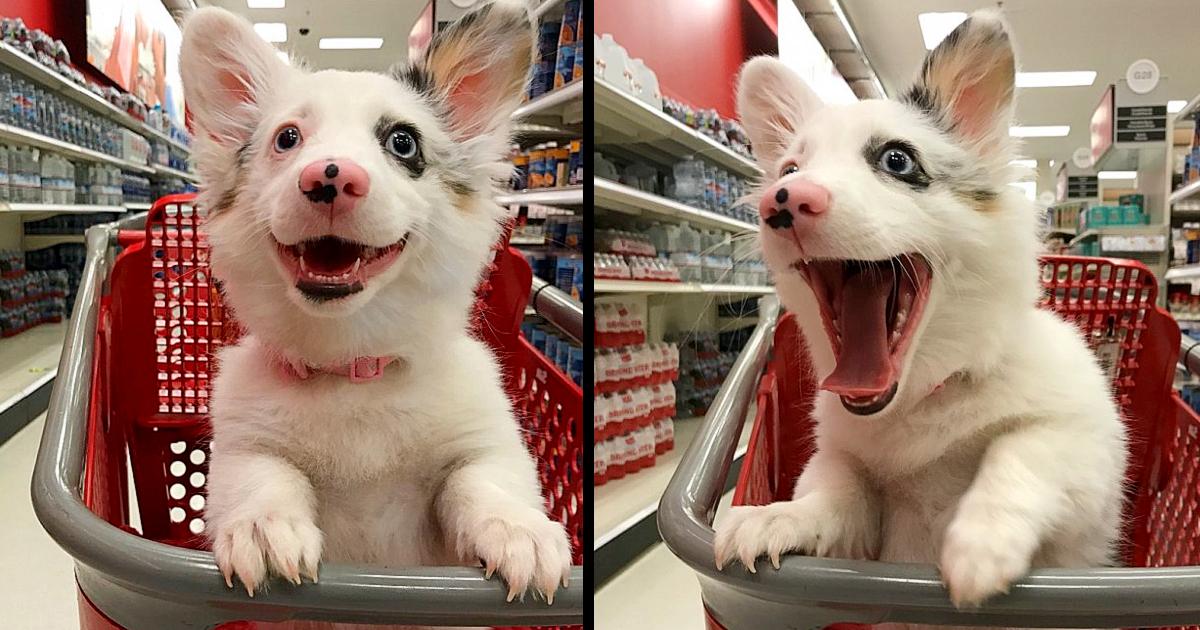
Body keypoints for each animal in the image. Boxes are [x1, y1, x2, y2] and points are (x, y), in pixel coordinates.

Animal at [177, 0, 571, 612]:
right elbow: (264, 476)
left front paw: (519, 530)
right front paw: (264, 525)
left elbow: (480, 480)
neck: (351, 367)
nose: (329, 176)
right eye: (287, 139)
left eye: (403, 143)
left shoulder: (487, 446)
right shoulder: (241, 450)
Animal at [715, 9, 1128, 614]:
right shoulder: (845, 472)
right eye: (788, 169)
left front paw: (980, 543)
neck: (921, 395)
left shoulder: (1087, 455)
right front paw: (779, 517)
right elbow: (832, 490)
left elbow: (1021, 450)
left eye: (897, 160)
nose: (782, 200)